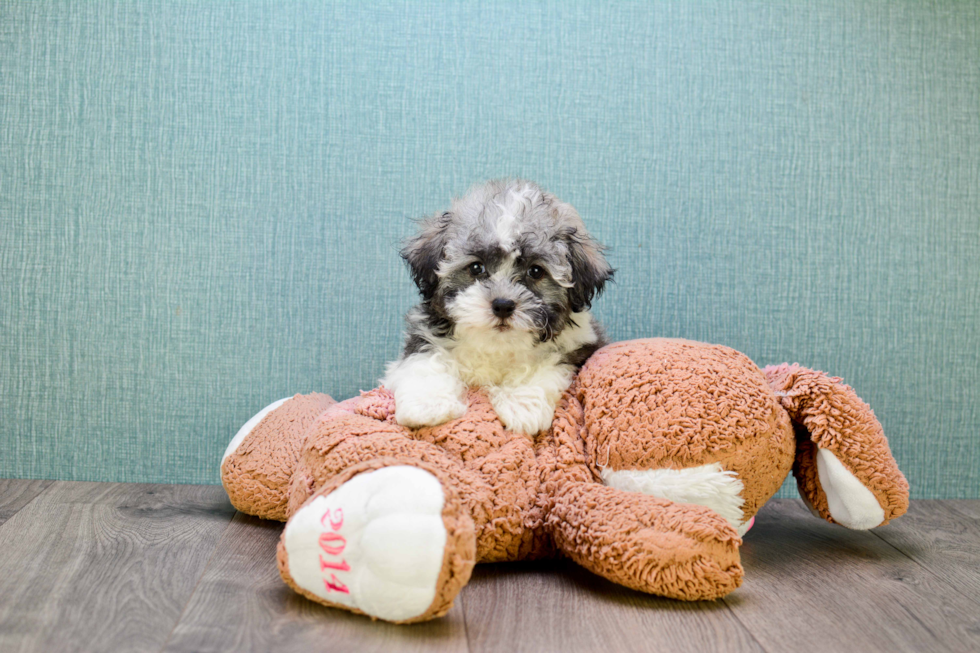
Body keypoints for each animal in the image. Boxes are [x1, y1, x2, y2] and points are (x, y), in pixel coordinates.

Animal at [382, 177, 612, 432]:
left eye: (535, 271)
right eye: (476, 267)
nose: (503, 305)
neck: (496, 346)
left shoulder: (579, 345)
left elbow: (544, 365)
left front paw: (522, 406)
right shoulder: (424, 334)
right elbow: (425, 361)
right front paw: (428, 404)